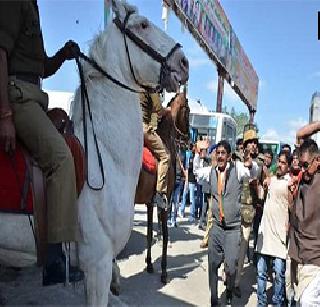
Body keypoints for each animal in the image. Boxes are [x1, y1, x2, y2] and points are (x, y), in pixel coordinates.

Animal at [70, 1, 189, 306]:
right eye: (143, 25)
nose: (184, 62)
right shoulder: (96, 258)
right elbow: (164, 235)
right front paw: (162, 271)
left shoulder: (148, 203)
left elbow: (147, 233)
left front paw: (148, 264)